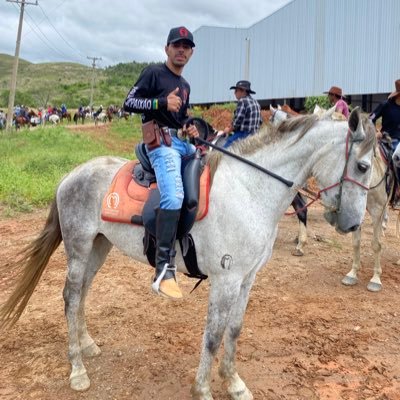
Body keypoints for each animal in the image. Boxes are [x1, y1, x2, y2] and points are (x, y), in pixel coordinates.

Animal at [0, 109, 376, 400]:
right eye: (362, 166)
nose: (353, 223)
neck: (249, 190)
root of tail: (71, 175)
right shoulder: (225, 280)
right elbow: (212, 336)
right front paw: (203, 389)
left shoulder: (247, 279)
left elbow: (234, 330)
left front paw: (234, 383)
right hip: (78, 247)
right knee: (70, 296)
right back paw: (77, 370)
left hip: (99, 246)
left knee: (81, 295)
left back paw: (88, 344)